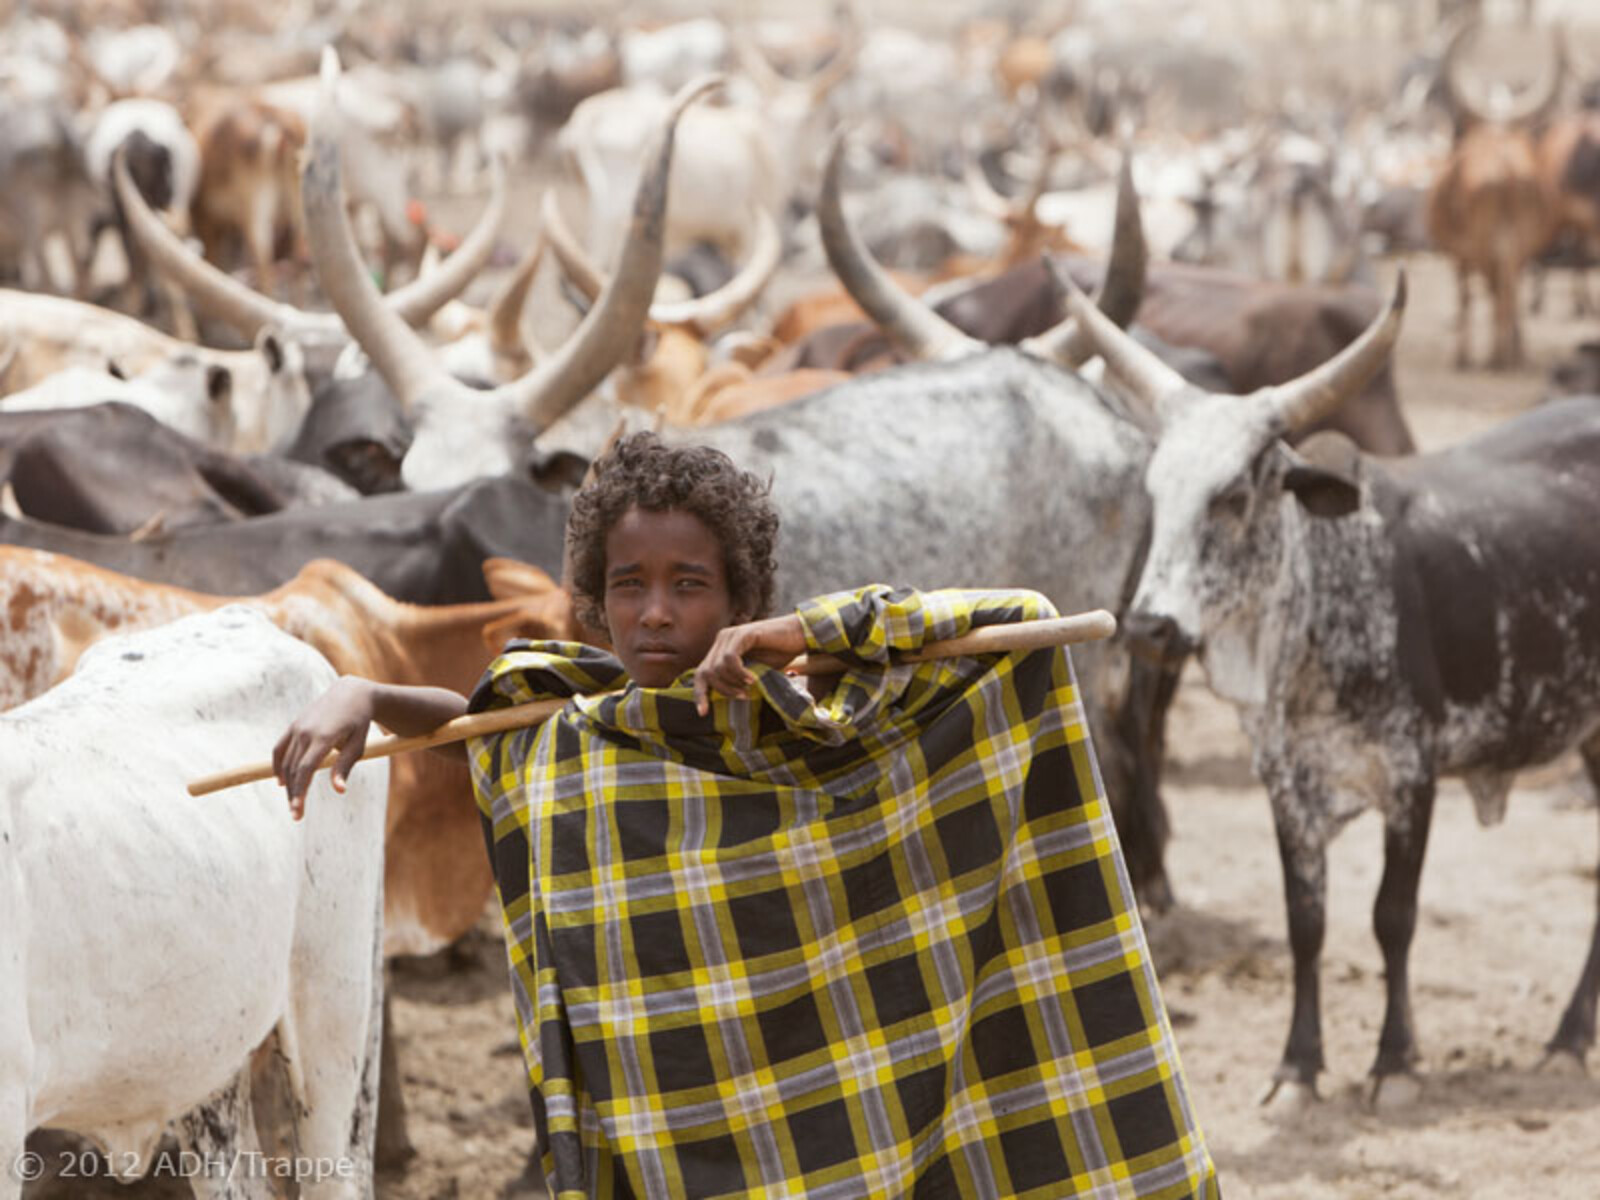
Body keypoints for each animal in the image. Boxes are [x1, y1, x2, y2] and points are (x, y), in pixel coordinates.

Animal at [1062, 272, 1600, 1107]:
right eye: (1155, 491)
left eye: (1234, 495)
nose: (1149, 626)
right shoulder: (1286, 784)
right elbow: (1305, 924)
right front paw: (1299, 1065)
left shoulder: (1412, 777)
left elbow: (1392, 916)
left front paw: (1393, 1061)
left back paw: (1569, 1038)